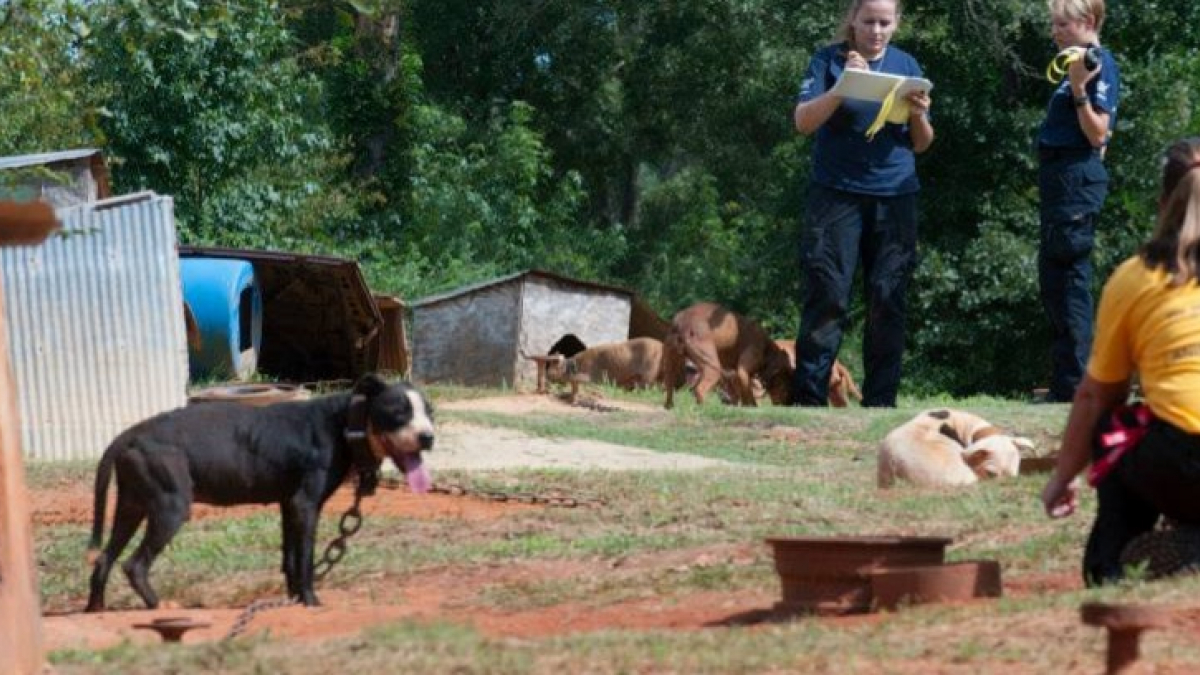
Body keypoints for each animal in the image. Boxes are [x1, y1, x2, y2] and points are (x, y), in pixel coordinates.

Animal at [84, 372, 434, 610]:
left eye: (430, 412)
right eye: (398, 411)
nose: (428, 437)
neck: (347, 423)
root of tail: (130, 434)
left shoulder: (288, 505)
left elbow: (290, 559)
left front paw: (293, 598)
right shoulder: (305, 505)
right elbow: (305, 559)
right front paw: (310, 600)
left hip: (132, 506)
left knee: (104, 559)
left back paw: (96, 609)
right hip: (170, 508)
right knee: (134, 565)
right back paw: (159, 606)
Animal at [662, 303, 792, 408]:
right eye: (785, 379)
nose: (787, 403)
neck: (768, 350)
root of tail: (681, 322)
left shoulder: (734, 373)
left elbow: (742, 391)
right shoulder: (742, 370)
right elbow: (748, 392)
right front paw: (751, 406)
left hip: (671, 365)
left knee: (669, 389)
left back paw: (670, 406)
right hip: (712, 368)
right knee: (699, 389)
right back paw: (708, 409)